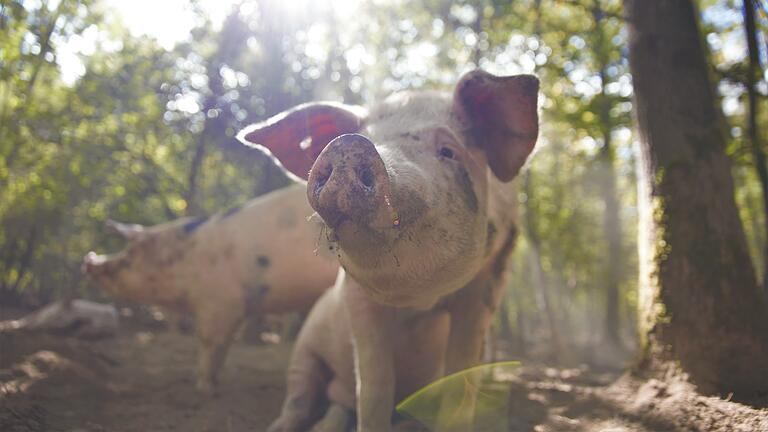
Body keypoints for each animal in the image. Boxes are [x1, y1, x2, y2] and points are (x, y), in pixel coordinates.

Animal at [80, 176, 340, 394]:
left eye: (130, 253)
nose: (88, 259)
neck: (187, 257)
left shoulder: (219, 302)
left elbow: (208, 341)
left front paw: (203, 387)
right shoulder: (235, 308)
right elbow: (223, 345)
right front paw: (213, 382)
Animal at [240, 69, 540, 430]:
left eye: (448, 150)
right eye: (364, 136)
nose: (348, 144)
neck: (419, 301)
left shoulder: (491, 277)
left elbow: (461, 373)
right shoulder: (355, 294)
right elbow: (374, 386)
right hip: (305, 348)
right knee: (305, 396)